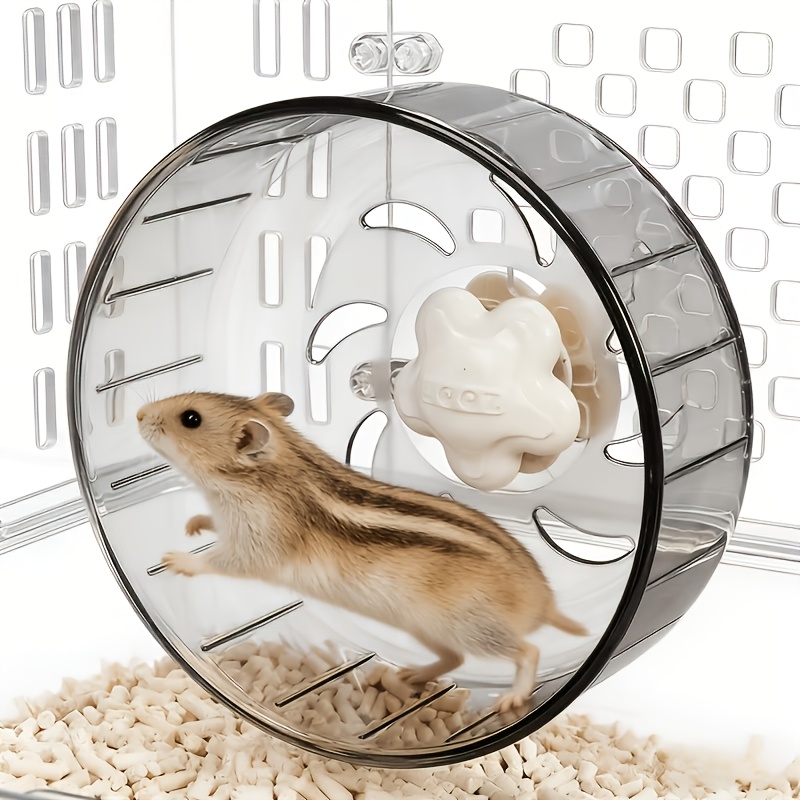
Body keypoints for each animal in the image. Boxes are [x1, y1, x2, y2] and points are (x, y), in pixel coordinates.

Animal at [137, 391, 588, 712]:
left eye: (191, 419)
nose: (139, 414)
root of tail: (543, 604)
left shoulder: (254, 546)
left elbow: (215, 560)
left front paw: (173, 559)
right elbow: (210, 524)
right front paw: (192, 525)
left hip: (474, 626)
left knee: (527, 650)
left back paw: (512, 698)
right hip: (429, 629)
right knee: (454, 661)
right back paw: (408, 677)